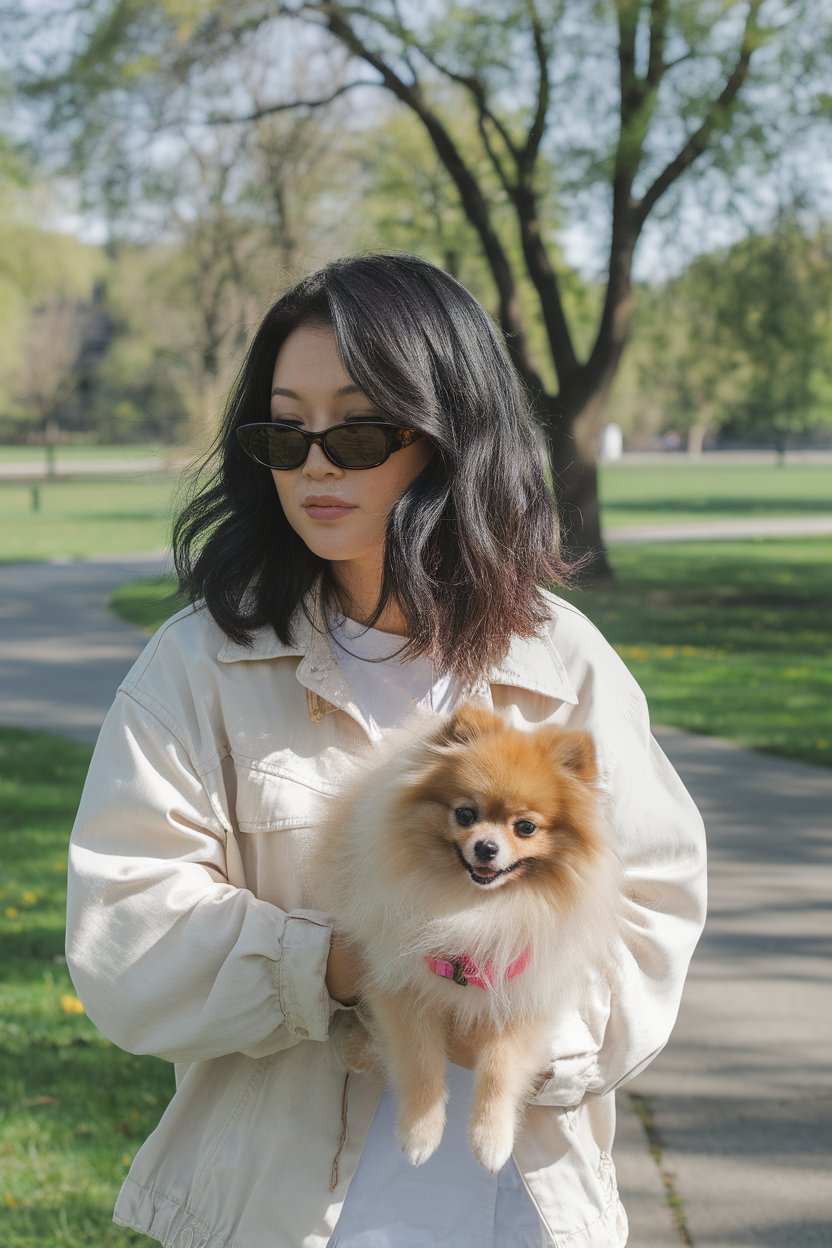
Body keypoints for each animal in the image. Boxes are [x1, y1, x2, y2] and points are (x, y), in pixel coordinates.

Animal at [321, 708, 621, 1173]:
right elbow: (420, 1059)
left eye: (526, 827)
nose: (485, 848)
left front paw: (491, 1139)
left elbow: (500, 1067)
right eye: (465, 814)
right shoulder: (400, 983)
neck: (474, 906)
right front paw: (419, 1133)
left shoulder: (522, 992)